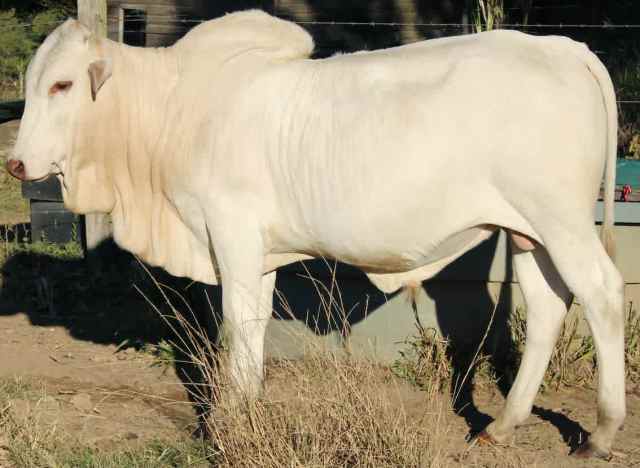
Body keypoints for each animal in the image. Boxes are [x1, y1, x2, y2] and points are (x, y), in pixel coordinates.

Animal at [6, 9, 624, 458]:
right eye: (35, 84)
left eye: (62, 85)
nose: (15, 163)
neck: (173, 112)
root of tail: (562, 47)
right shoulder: (257, 254)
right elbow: (253, 330)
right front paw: (246, 411)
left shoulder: (231, 236)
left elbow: (236, 327)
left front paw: (226, 424)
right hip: (528, 232)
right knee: (546, 307)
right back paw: (504, 423)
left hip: (561, 222)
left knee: (603, 295)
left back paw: (601, 431)